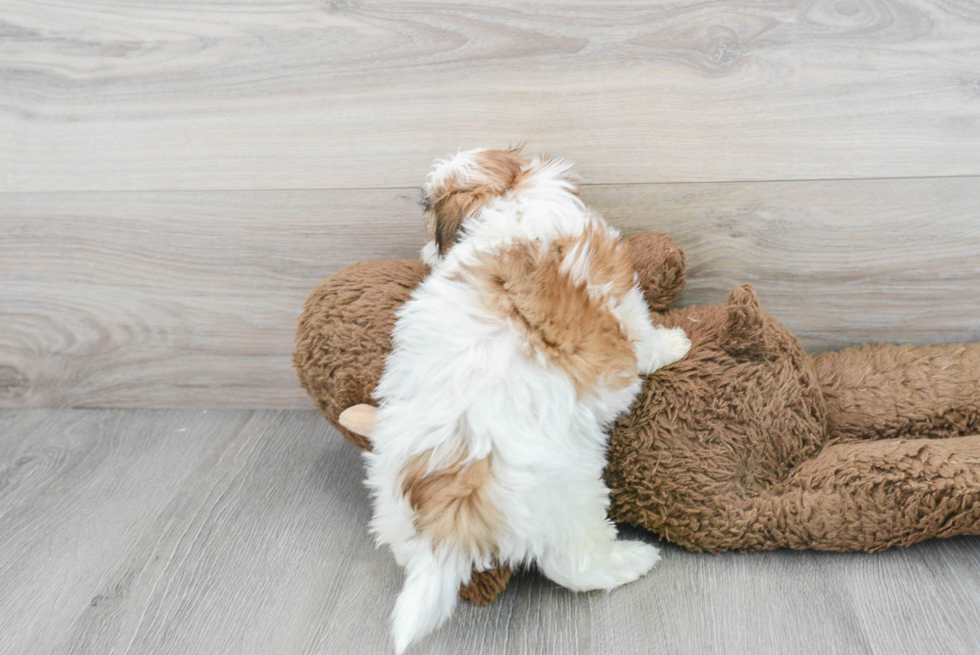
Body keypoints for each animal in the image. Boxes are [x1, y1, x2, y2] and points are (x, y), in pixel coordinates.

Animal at [364, 146, 692, 652]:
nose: (424, 252)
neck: (511, 204)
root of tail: (455, 493)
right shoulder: (623, 304)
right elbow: (644, 338)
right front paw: (675, 344)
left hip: (392, 497)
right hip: (570, 495)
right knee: (575, 565)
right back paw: (632, 560)